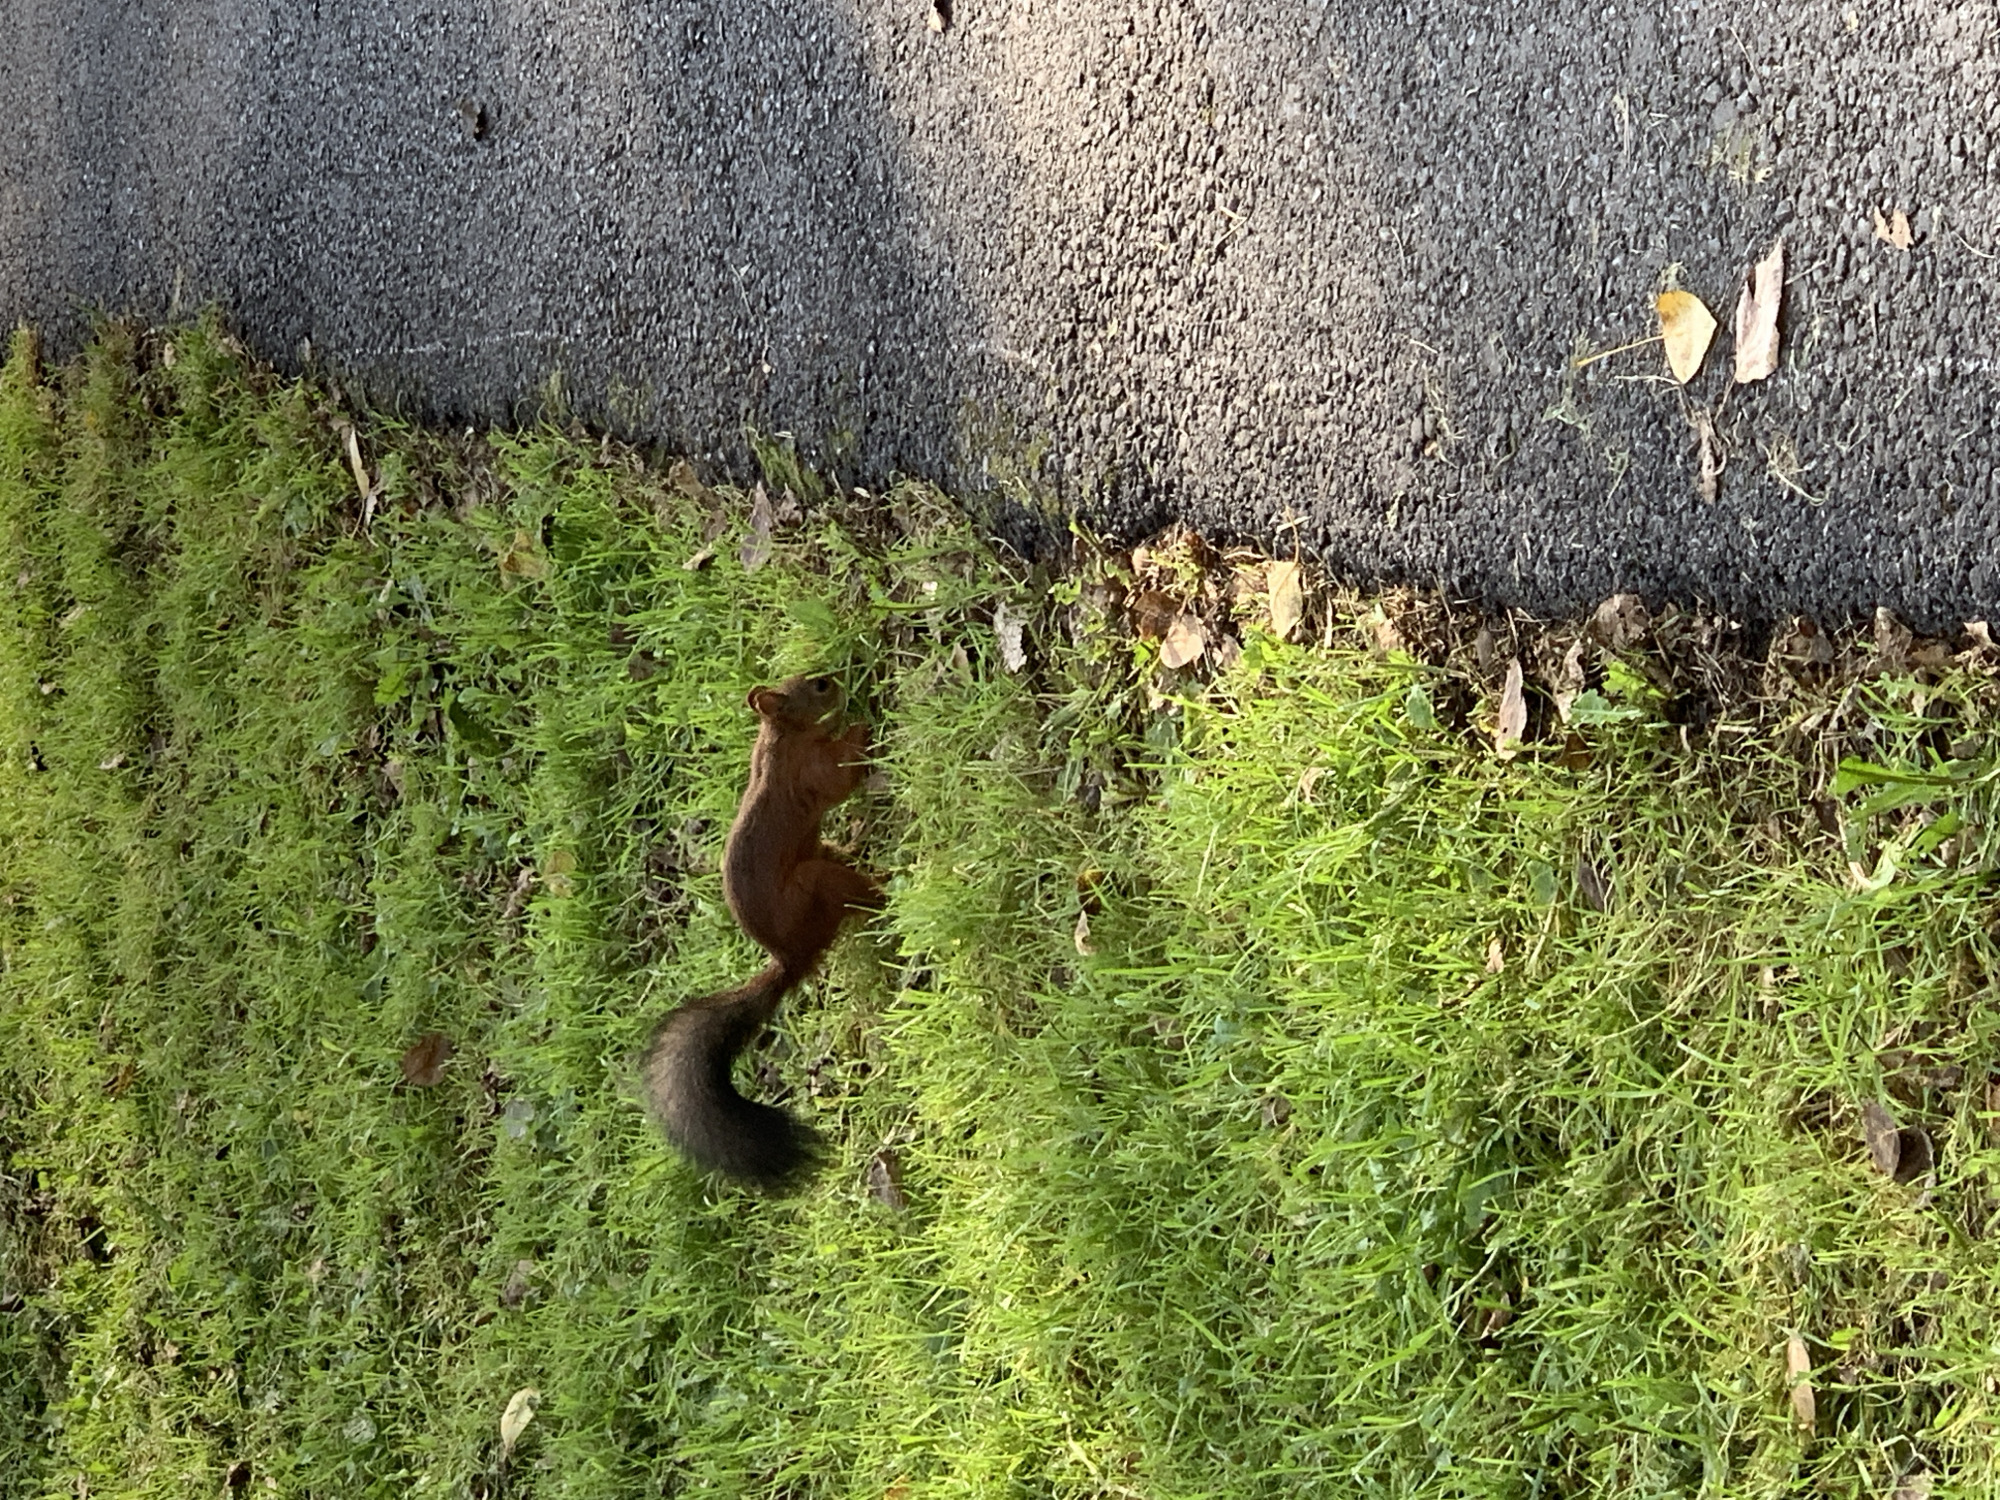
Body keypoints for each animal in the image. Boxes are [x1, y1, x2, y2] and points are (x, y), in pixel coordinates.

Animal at [640, 674, 882, 1191]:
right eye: (819, 686)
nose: (838, 679)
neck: (781, 739)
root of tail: (791, 956)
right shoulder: (810, 773)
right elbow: (839, 777)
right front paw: (860, 726)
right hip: (813, 883)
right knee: (855, 897)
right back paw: (886, 889)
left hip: (820, 858)